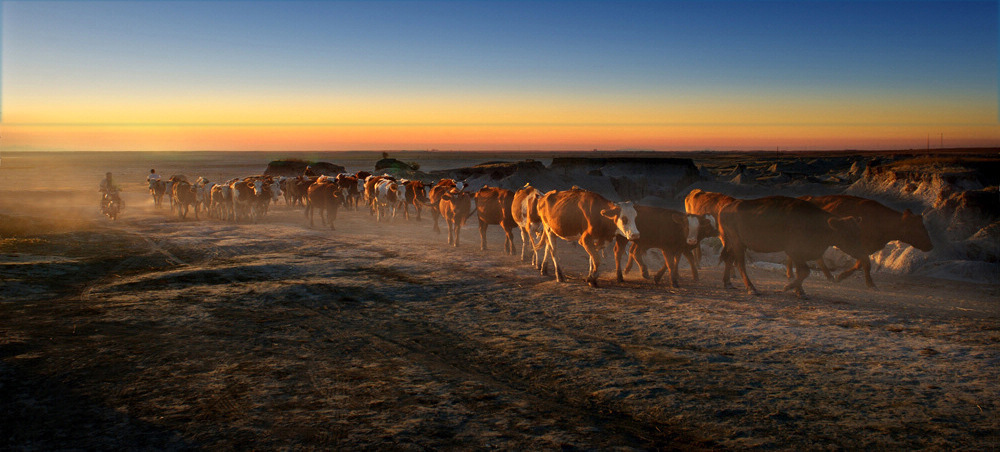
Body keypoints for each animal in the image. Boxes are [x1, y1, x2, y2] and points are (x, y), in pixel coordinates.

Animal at [716, 196, 864, 298]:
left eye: (858, 232)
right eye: (847, 234)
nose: (861, 251)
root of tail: (725, 209)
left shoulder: (799, 255)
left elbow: (801, 272)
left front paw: (800, 292)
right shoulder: (795, 252)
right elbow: (804, 271)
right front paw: (788, 287)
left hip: (734, 243)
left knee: (728, 259)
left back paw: (728, 283)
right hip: (738, 244)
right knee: (740, 264)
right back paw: (752, 289)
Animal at [788, 195, 936, 290]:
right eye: (917, 228)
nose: (930, 245)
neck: (881, 220)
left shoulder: (863, 249)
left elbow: (860, 264)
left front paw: (841, 276)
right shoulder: (861, 247)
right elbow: (866, 264)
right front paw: (870, 284)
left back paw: (827, 276)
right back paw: (791, 274)